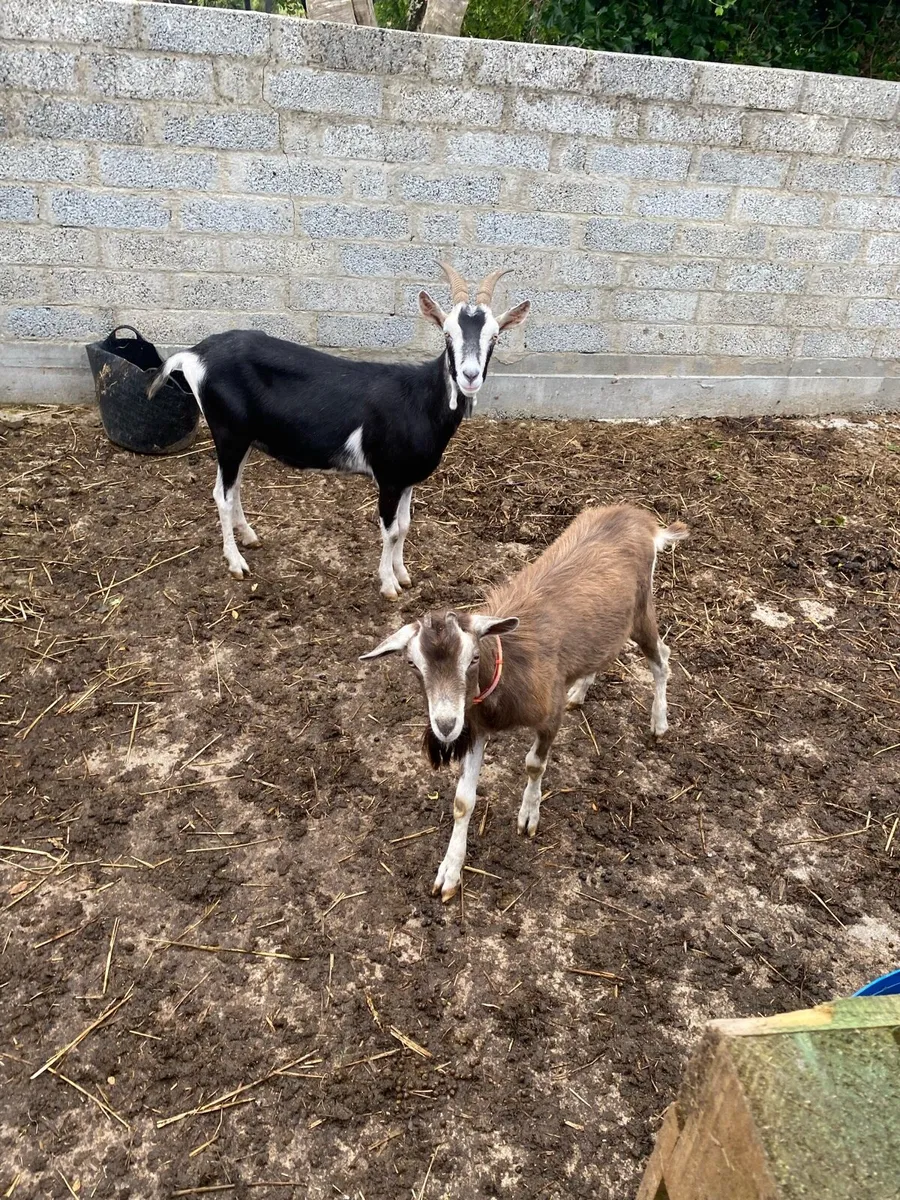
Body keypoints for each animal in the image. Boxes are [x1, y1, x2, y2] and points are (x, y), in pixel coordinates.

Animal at [147, 265, 529, 598]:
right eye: (447, 332)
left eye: (495, 336)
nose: (469, 376)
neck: (419, 400)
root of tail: (194, 354)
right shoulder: (389, 477)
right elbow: (390, 530)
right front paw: (389, 585)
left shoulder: (408, 479)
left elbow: (405, 525)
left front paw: (403, 574)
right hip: (228, 433)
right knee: (221, 495)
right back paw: (236, 562)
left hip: (243, 440)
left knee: (234, 487)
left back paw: (250, 536)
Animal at [361, 505, 688, 900]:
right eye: (412, 664)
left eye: (473, 658)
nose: (445, 726)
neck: (508, 672)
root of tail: (642, 520)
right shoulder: (476, 729)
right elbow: (462, 801)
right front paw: (449, 873)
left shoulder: (548, 716)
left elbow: (534, 764)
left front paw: (529, 816)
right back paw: (580, 690)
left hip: (642, 612)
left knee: (662, 659)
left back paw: (659, 724)